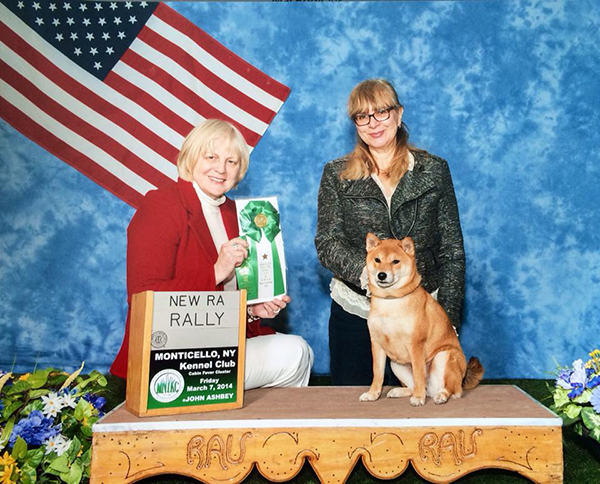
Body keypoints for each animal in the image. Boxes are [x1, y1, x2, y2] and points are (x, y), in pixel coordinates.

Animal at [359, 233, 484, 406]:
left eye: (395, 261)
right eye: (377, 260)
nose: (381, 275)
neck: (391, 300)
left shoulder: (416, 344)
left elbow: (419, 374)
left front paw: (418, 398)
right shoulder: (377, 344)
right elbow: (377, 374)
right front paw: (372, 394)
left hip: (444, 356)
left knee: (451, 389)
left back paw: (440, 396)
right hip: (396, 364)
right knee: (416, 386)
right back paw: (400, 391)